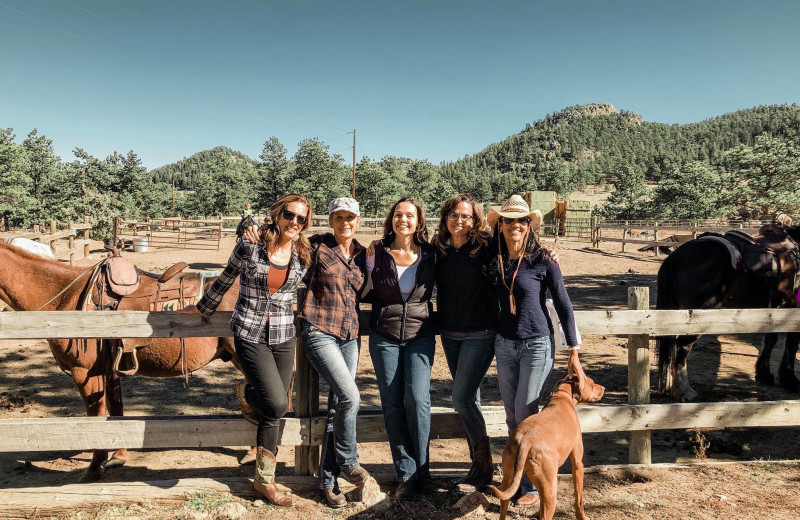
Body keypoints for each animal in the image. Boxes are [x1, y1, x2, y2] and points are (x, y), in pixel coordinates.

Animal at [0, 242, 244, 482]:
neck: (64, 297)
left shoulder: (84, 373)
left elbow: (96, 416)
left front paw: (94, 468)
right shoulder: (109, 369)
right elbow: (116, 410)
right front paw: (117, 457)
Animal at [488, 376, 608, 520]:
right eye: (592, 383)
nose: (604, 388)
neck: (562, 397)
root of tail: (525, 441)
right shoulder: (578, 464)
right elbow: (579, 500)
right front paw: (582, 517)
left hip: (510, 480)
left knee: (505, 502)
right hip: (551, 490)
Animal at [656, 224, 800, 402]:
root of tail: (676, 257)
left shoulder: (775, 308)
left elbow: (771, 339)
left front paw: (765, 374)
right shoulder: (791, 304)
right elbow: (792, 340)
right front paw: (790, 380)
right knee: (682, 347)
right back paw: (684, 391)